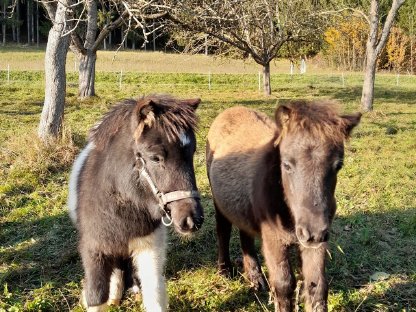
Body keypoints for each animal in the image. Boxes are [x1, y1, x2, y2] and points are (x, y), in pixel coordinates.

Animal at [69, 94, 204, 310]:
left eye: (191, 153)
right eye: (155, 158)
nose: (192, 220)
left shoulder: (148, 245)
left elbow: (154, 293)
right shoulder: (94, 249)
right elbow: (96, 296)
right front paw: (106, 298)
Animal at [208, 101, 360, 310]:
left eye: (338, 166)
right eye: (287, 164)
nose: (313, 232)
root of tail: (231, 110)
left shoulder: (317, 244)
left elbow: (317, 286)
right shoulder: (273, 240)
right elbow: (284, 285)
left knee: (245, 235)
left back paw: (256, 279)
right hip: (219, 202)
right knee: (223, 230)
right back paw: (225, 270)